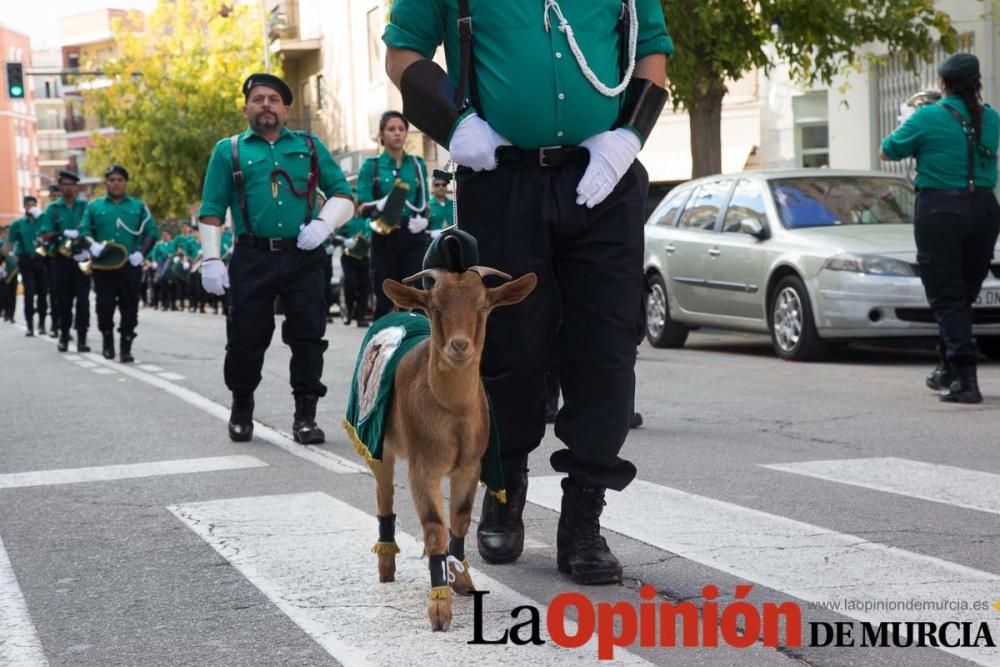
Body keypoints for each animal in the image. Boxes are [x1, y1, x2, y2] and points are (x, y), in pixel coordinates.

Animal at [356, 266, 536, 632]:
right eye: (435, 307)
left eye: (483, 306)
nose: (459, 345)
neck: (453, 415)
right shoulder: (422, 469)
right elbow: (434, 529)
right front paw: (439, 608)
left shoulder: (469, 467)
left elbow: (461, 520)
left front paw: (461, 577)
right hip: (379, 443)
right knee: (384, 494)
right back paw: (386, 565)